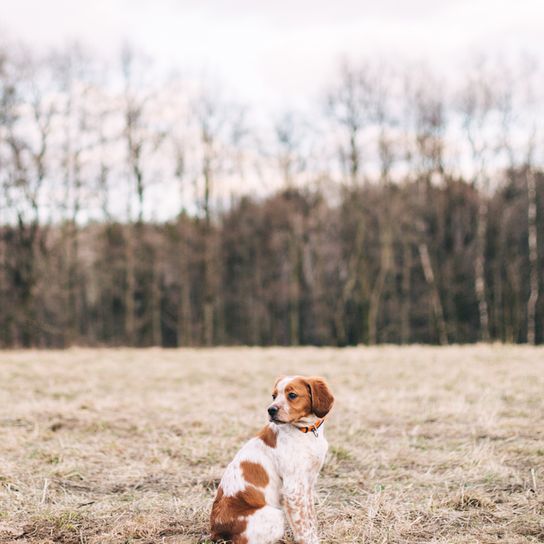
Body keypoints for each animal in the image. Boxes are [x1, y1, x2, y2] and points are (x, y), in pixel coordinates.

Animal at [209, 376, 334, 544]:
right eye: (274, 396)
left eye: (292, 395)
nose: (271, 410)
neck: (305, 432)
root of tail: (215, 530)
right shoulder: (293, 488)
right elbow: (303, 527)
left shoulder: (308, 483)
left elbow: (310, 519)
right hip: (275, 516)